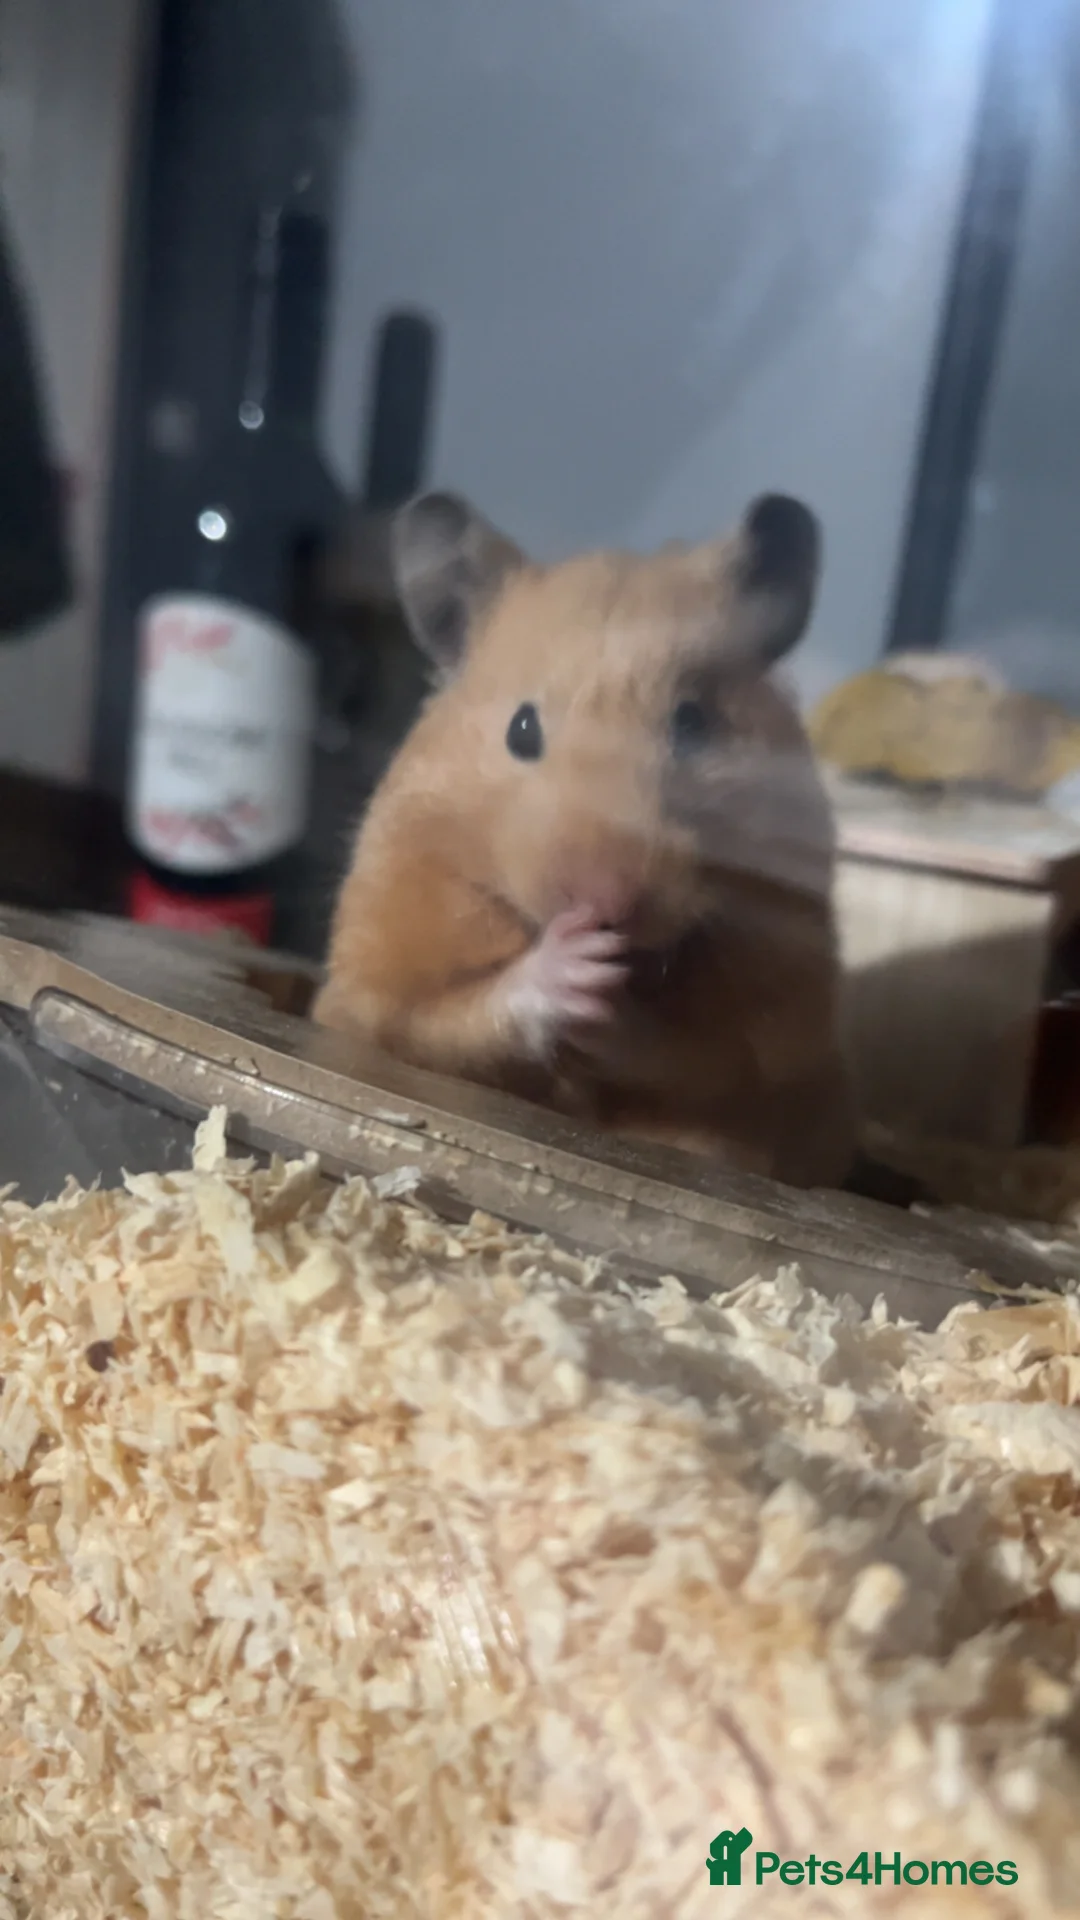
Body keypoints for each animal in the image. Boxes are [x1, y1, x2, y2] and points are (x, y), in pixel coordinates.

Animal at [313, 489, 855, 1190]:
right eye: (521, 728)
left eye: (693, 724)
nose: (607, 907)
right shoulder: (384, 980)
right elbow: (455, 1013)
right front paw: (575, 967)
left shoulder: (772, 1013)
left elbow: (695, 1056)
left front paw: (608, 996)